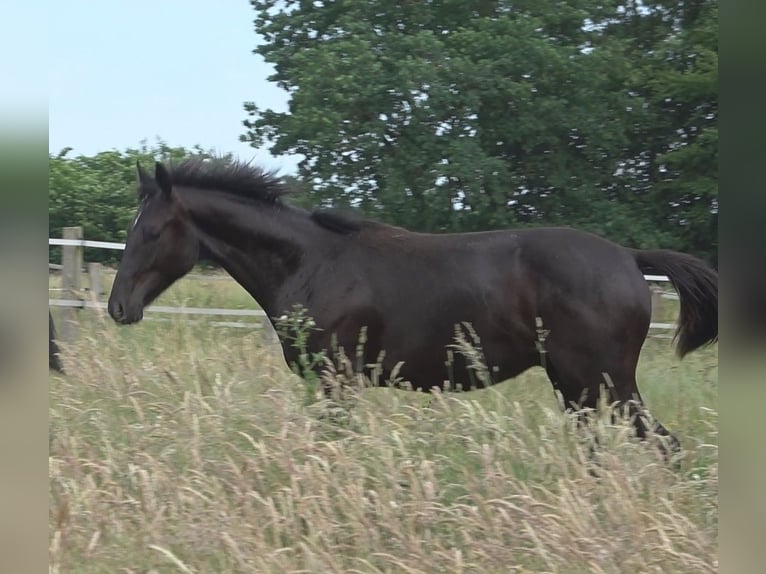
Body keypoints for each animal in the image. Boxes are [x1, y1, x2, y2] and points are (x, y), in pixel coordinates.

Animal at [106, 160, 720, 456]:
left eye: (152, 231)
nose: (118, 307)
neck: (312, 261)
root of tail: (630, 258)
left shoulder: (337, 380)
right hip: (580, 387)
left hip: (601, 381)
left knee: (664, 446)